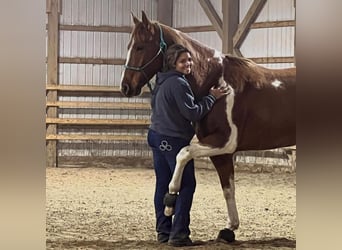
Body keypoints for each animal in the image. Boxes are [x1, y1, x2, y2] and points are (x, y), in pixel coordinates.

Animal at [119, 11, 294, 242]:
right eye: (129, 45)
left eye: (139, 47)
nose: (125, 87)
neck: (218, 81)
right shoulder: (221, 153)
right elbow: (228, 188)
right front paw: (229, 229)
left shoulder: (223, 142)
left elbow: (182, 153)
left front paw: (170, 201)